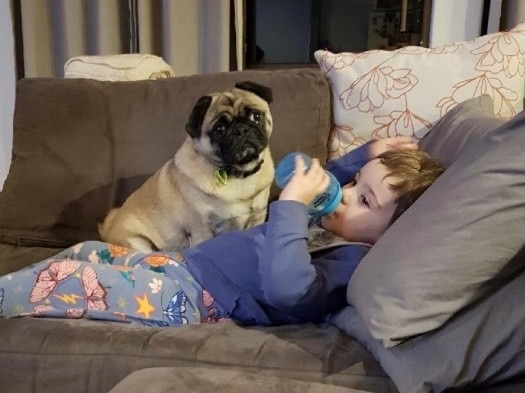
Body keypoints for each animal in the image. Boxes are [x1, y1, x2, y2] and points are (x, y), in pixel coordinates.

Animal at [100, 81, 276, 251]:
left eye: (256, 116)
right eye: (219, 130)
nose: (241, 129)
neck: (239, 173)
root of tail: (107, 229)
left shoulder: (258, 218)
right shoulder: (201, 229)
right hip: (137, 242)